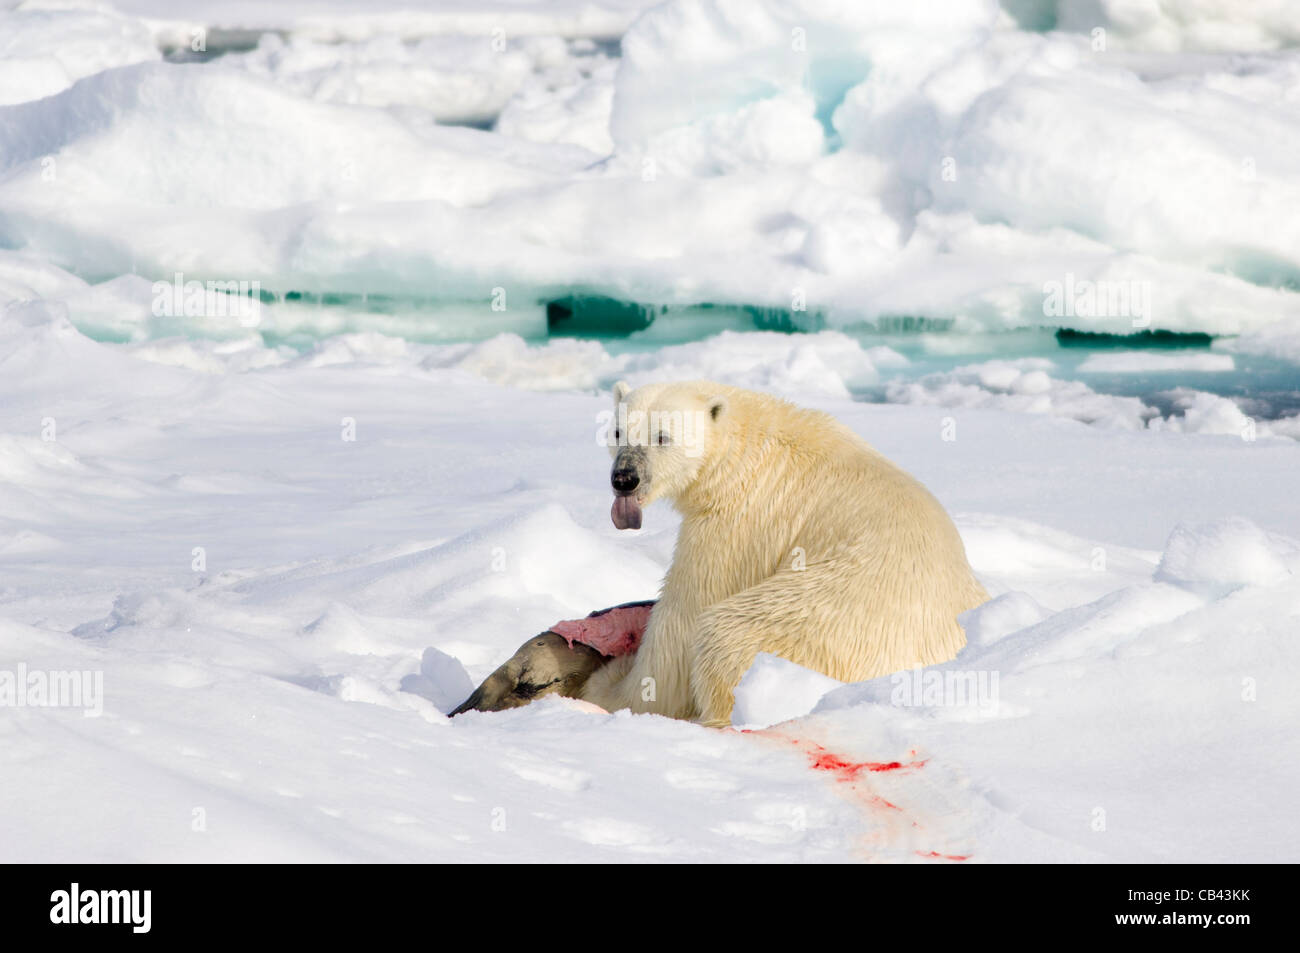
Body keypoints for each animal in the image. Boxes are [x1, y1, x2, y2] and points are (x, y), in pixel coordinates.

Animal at [454, 379, 982, 722]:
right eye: (619, 431)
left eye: (663, 436)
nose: (625, 478)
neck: (743, 449)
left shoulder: (736, 524)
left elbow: (682, 622)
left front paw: (613, 687)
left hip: (826, 620)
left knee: (727, 632)